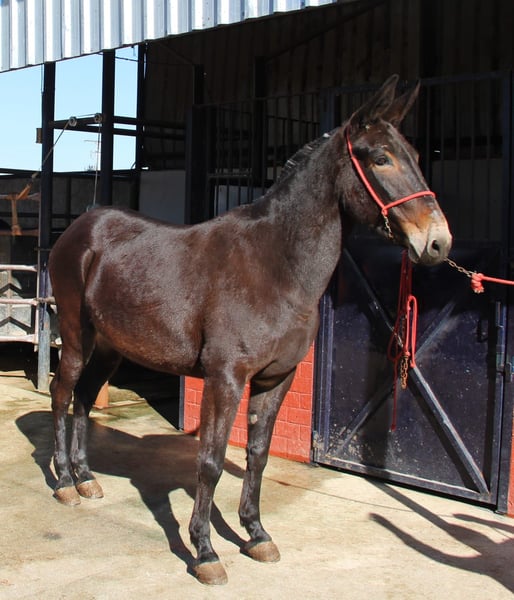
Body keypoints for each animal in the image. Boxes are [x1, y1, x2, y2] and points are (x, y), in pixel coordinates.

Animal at [48, 75, 452, 585]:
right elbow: (210, 460)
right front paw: (204, 552)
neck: (275, 265)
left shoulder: (278, 379)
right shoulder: (225, 379)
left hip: (110, 347)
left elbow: (257, 454)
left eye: (415, 155)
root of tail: (81, 227)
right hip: (76, 336)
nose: (437, 242)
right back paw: (64, 482)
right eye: (380, 157)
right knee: (62, 394)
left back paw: (86, 479)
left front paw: (256, 534)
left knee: (84, 397)